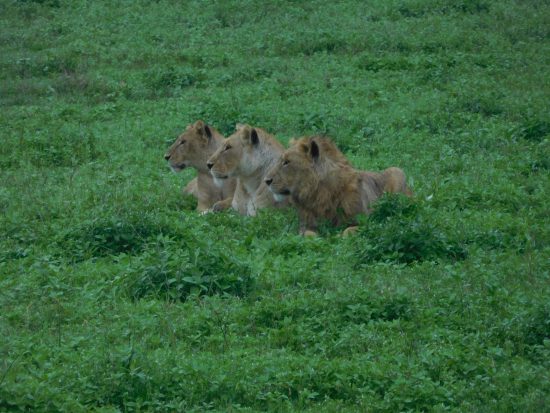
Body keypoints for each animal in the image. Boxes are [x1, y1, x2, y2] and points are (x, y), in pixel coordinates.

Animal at [264, 136, 414, 235]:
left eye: (286, 162)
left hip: (396, 171)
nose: (266, 180)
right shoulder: (305, 225)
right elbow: (308, 234)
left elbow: (348, 230)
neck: (319, 193)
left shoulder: (367, 221)